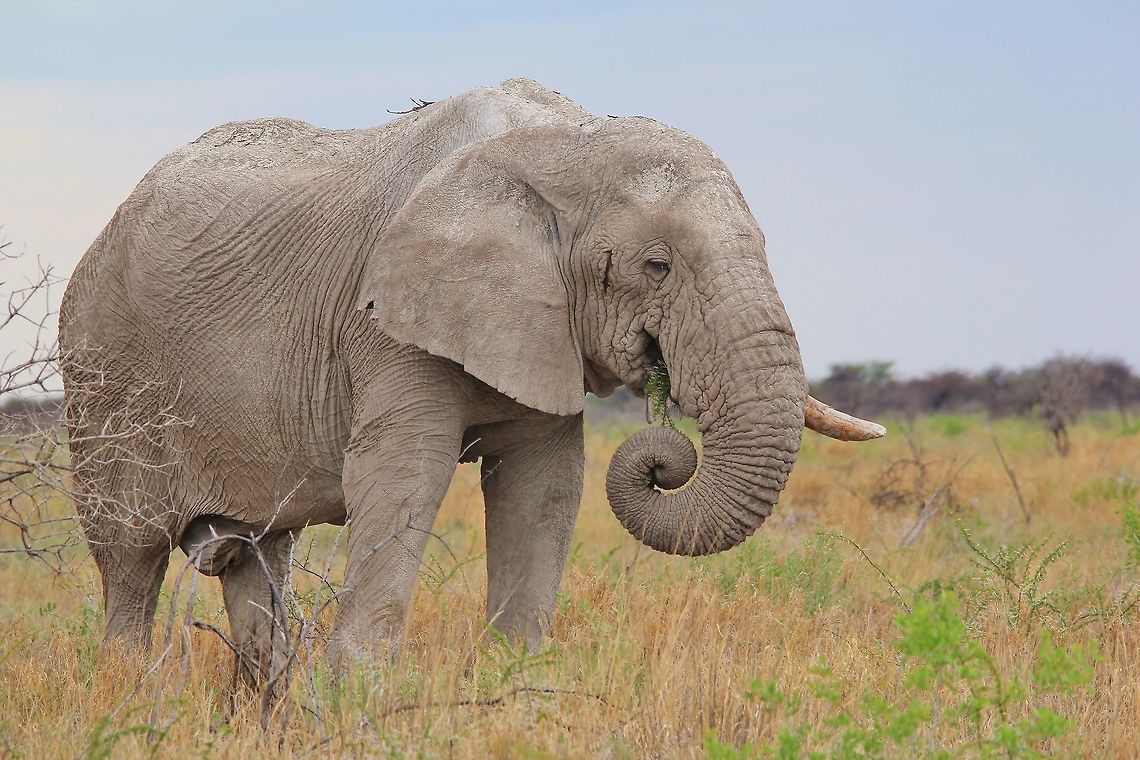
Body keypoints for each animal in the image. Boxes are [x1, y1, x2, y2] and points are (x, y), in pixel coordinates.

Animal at [59, 77, 884, 677]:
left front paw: (515, 682)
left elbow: (544, 484)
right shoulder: (385, 321)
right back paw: (126, 690)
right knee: (130, 556)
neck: (567, 140)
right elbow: (404, 473)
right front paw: (364, 694)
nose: (663, 454)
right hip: (105, 373)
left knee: (257, 555)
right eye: (658, 265)